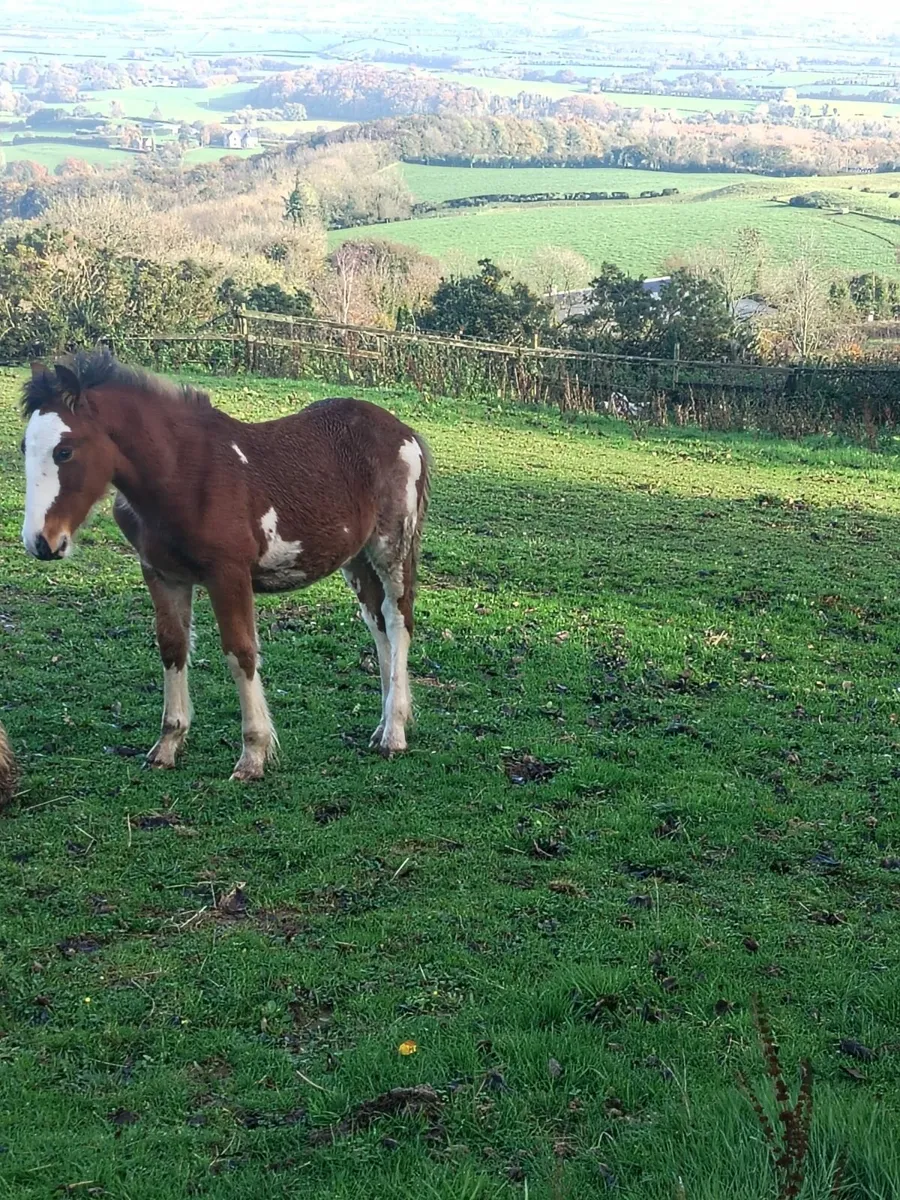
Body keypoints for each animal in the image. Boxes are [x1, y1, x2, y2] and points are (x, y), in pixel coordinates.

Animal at [20, 351, 432, 781]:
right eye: (23, 447)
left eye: (64, 451)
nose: (40, 542)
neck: (182, 474)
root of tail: (405, 432)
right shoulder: (162, 574)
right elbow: (172, 646)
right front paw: (167, 745)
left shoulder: (228, 574)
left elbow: (241, 651)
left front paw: (253, 755)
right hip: (356, 558)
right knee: (378, 624)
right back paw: (382, 726)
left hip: (391, 549)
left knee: (398, 620)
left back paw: (394, 734)